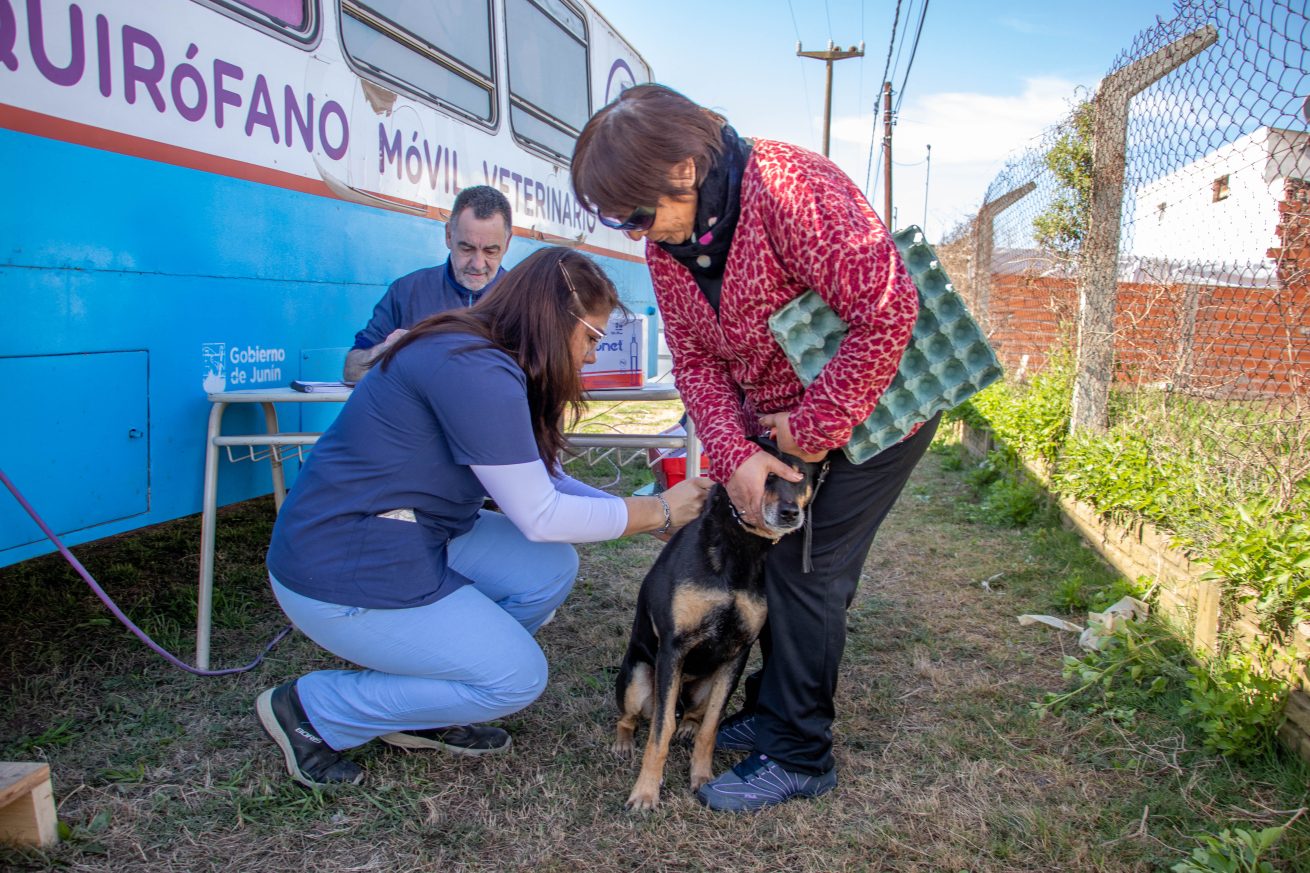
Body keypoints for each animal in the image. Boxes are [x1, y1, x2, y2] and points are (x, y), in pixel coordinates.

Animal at [610, 435, 817, 807]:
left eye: (800, 477)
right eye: (766, 474)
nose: (792, 513)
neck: (742, 545)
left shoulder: (737, 653)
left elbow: (710, 727)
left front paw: (702, 775)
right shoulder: (673, 648)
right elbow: (660, 730)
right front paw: (646, 791)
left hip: (704, 685)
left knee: (693, 715)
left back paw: (688, 726)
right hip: (637, 678)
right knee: (631, 718)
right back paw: (623, 743)